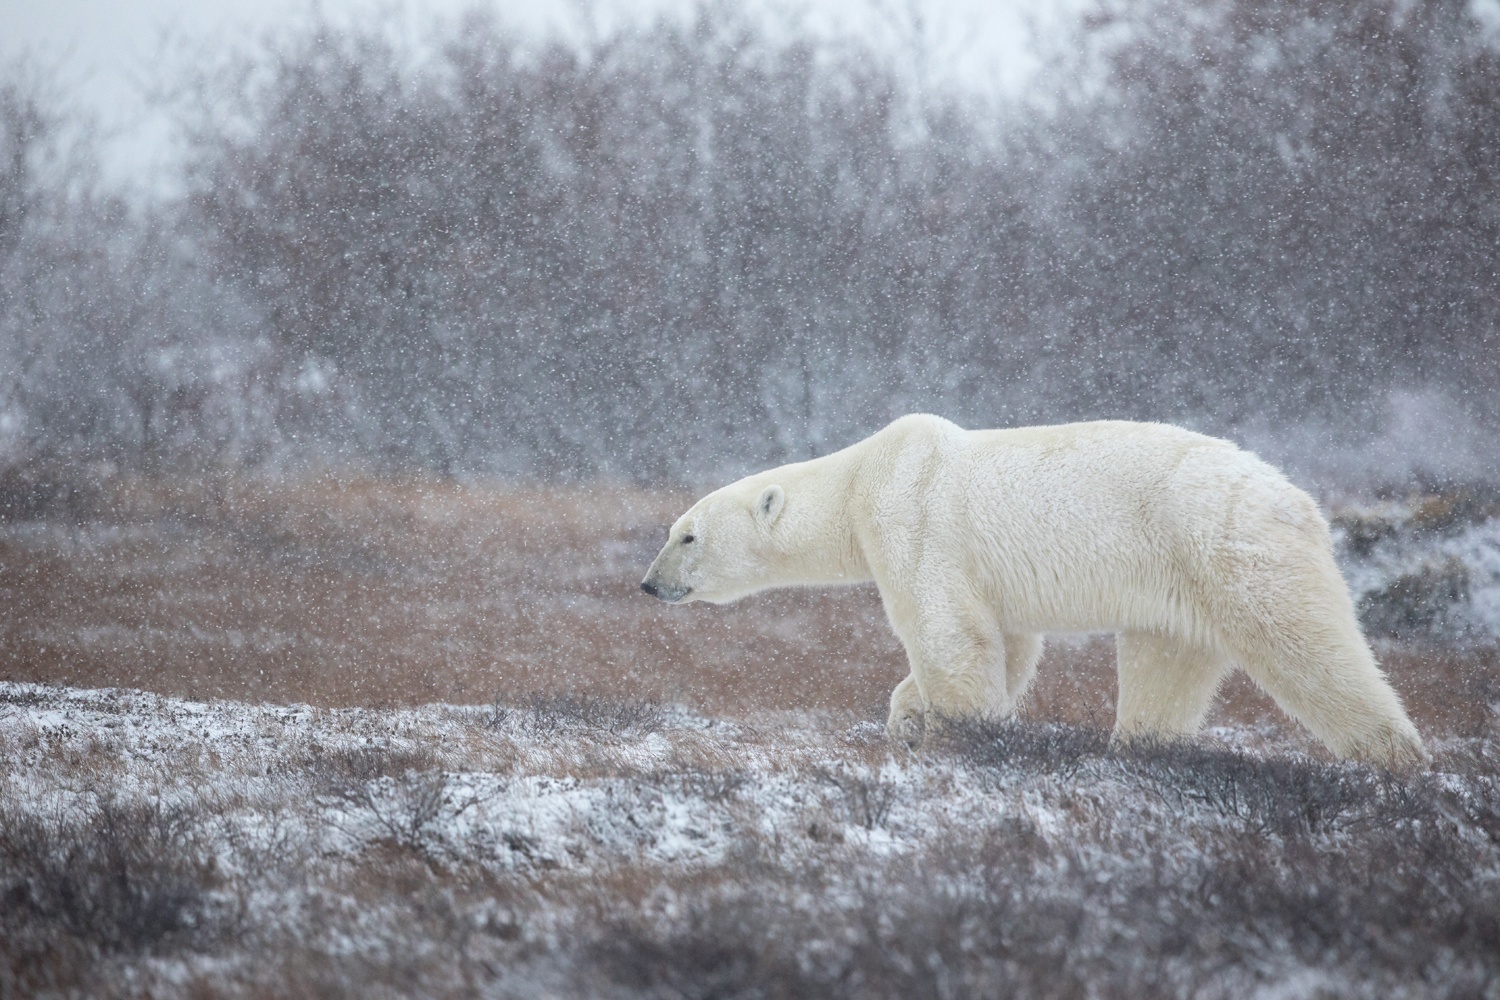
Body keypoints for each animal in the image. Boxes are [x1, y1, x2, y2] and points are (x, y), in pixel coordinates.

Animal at [642, 410, 1428, 773]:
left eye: (687, 536)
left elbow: (950, 636)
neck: (862, 474)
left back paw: (1397, 762)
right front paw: (906, 719)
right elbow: (1007, 642)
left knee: (1311, 651)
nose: (649, 584)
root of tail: (1304, 503)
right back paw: (1135, 753)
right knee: (1165, 666)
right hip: (1180, 585)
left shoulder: (913, 517)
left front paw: (958, 737)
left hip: (1231, 548)